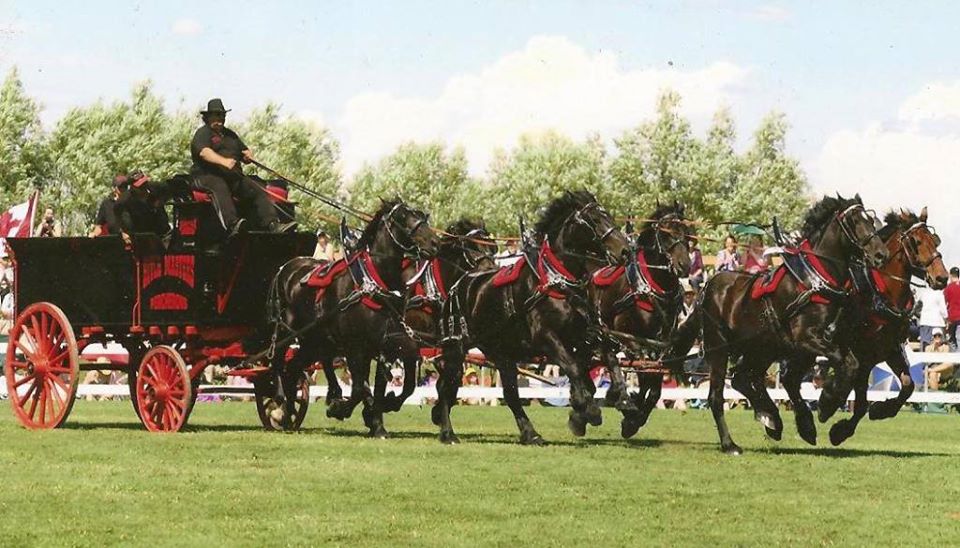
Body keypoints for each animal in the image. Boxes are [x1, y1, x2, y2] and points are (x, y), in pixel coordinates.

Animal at [266, 199, 438, 434]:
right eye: (403, 218)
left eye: (422, 216)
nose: (436, 243)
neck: (372, 284)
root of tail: (285, 268)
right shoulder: (354, 346)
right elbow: (358, 388)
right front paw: (340, 409)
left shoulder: (386, 344)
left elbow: (389, 384)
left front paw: (378, 415)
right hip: (287, 331)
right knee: (278, 362)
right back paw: (280, 403)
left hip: (313, 340)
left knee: (293, 368)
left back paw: (289, 412)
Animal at [434, 191, 632, 444]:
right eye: (594, 220)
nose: (625, 251)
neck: (556, 281)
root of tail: (458, 285)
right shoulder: (546, 337)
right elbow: (574, 368)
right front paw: (588, 411)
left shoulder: (583, 334)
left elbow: (608, 359)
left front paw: (621, 401)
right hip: (456, 347)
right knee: (446, 386)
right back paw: (447, 432)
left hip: (501, 353)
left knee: (510, 395)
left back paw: (530, 433)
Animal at [588, 201, 692, 436]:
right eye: (666, 234)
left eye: (687, 232)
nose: (685, 265)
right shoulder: (630, 339)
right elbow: (643, 372)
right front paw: (630, 415)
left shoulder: (660, 345)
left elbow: (653, 384)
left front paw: (634, 417)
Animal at [672, 195, 888, 456]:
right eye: (854, 222)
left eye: (871, 220)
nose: (881, 254)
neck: (814, 281)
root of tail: (706, 289)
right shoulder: (806, 339)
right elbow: (844, 364)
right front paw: (827, 403)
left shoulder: (810, 347)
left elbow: (837, 367)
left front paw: (809, 421)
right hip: (719, 348)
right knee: (717, 396)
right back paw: (731, 443)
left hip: (761, 348)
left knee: (742, 378)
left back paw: (770, 418)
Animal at [780, 209, 952, 446]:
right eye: (916, 242)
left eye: (935, 241)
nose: (942, 277)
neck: (881, 295)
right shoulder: (862, 355)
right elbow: (860, 401)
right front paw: (832, 414)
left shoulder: (889, 349)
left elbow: (907, 385)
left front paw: (881, 410)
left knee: (790, 379)